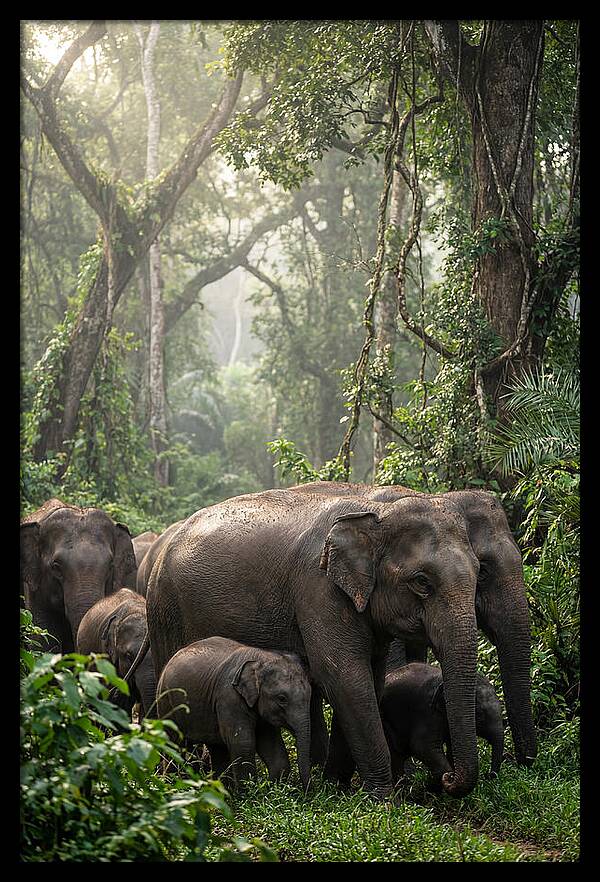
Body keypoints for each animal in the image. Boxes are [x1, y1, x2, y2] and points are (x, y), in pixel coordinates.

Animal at [155, 636, 312, 790]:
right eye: (282, 698)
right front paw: (249, 793)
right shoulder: (229, 698)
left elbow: (272, 745)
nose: (305, 791)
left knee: (217, 749)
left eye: (310, 694)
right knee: (175, 745)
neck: (261, 657)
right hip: (166, 703)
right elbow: (243, 743)